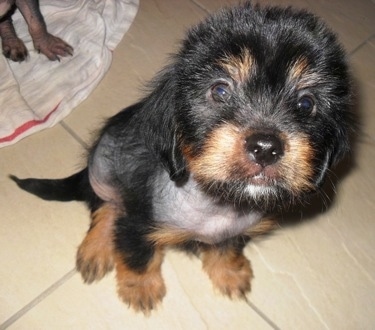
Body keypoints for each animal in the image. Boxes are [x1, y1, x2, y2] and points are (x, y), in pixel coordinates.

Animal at [10, 1, 354, 314]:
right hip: (105, 166)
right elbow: (137, 254)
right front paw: (140, 287)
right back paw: (95, 248)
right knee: (105, 206)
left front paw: (228, 272)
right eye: (220, 91)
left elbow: (226, 247)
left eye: (306, 104)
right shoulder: (137, 221)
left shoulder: (234, 229)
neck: (215, 201)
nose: (266, 147)